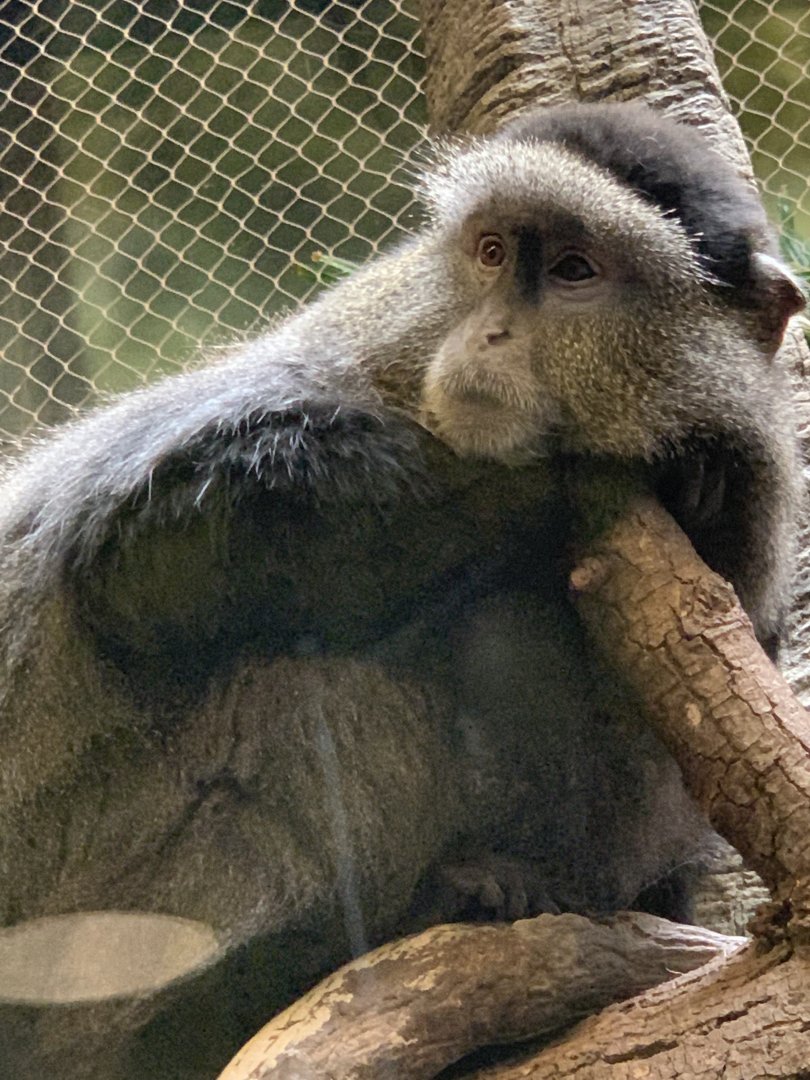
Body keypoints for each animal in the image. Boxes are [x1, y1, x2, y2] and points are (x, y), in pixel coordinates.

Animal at [0, 103, 803, 1079]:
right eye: (491, 253)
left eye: (574, 272)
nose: (490, 333)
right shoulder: (332, 381)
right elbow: (133, 564)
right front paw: (569, 487)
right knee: (317, 677)